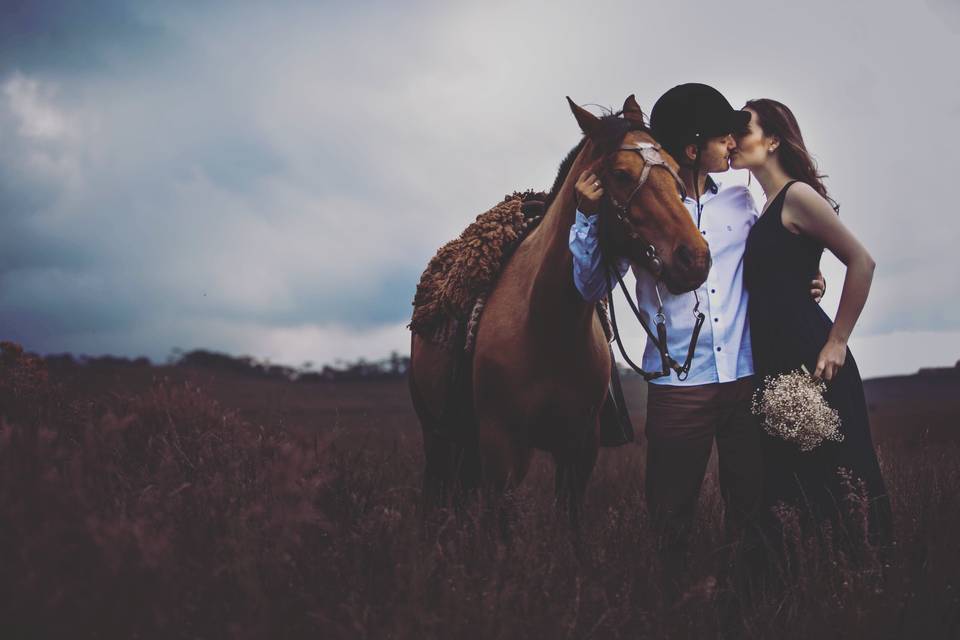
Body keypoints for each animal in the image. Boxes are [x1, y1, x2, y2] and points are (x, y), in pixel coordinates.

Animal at [408, 94, 708, 524]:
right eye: (620, 174)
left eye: (674, 168)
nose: (695, 258)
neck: (548, 324)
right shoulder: (502, 449)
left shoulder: (579, 449)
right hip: (438, 438)